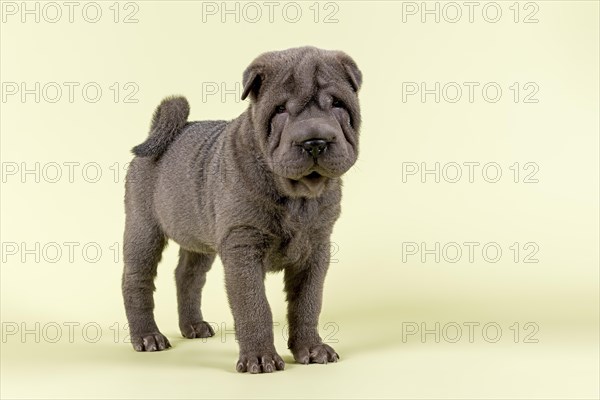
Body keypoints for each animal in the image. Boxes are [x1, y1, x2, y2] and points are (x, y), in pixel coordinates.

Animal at [122, 45, 360, 374]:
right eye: (280, 110)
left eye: (337, 104)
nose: (315, 141)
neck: (297, 196)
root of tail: (165, 131)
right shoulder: (242, 247)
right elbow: (254, 305)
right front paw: (260, 358)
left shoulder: (316, 249)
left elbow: (307, 303)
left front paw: (311, 348)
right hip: (143, 228)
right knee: (137, 279)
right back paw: (147, 337)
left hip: (199, 238)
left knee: (187, 276)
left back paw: (193, 326)